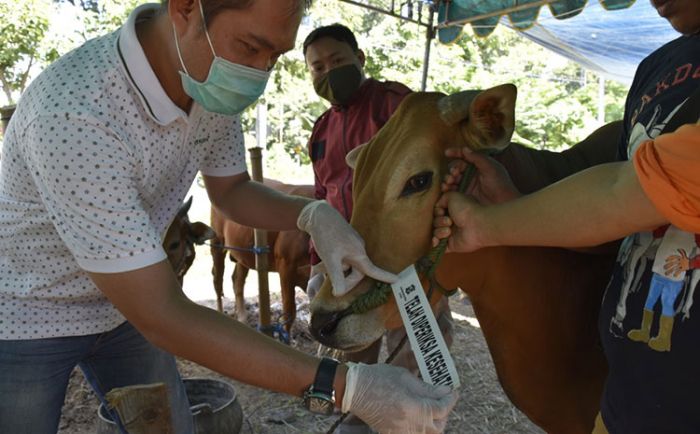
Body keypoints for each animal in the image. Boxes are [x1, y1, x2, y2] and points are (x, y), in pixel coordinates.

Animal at [209, 180, 314, 336]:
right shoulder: (286, 263)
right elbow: (289, 311)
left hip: (244, 251)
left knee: (237, 280)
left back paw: (242, 318)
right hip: (217, 241)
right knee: (217, 278)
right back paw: (221, 312)